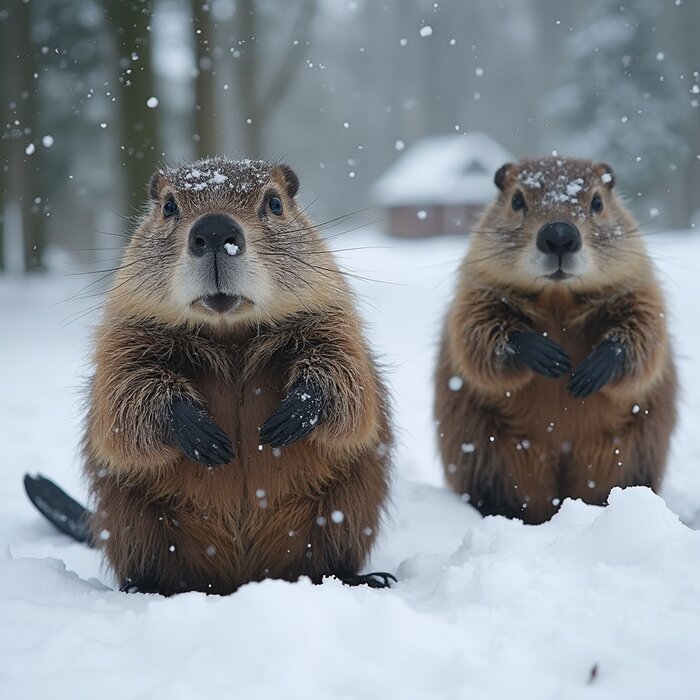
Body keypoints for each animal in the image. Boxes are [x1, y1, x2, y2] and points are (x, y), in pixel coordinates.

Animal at [24, 156, 394, 592]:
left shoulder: (332, 312)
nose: (215, 230)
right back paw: (147, 585)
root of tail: (244, 576)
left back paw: (366, 577)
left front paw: (289, 417)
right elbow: (122, 396)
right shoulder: (124, 328)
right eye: (169, 206)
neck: (230, 337)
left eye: (274, 203)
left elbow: (348, 376)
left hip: (347, 507)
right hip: (132, 517)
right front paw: (203, 435)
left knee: (327, 557)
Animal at [434, 156, 676, 524]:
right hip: (484, 450)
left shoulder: (638, 279)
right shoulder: (475, 284)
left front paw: (591, 371)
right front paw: (547, 355)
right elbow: (475, 332)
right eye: (517, 200)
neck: (557, 298)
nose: (559, 236)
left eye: (597, 202)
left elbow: (646, 329)